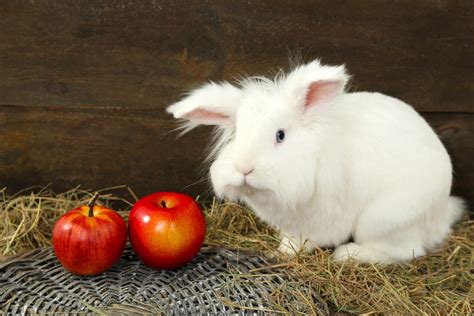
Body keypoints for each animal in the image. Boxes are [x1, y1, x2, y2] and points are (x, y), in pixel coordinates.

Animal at [166, 59, 462, 264]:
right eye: (237, 133)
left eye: (280, 135)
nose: (244, 169)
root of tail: (441, 212)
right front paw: (284, 250)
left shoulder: (321, 218)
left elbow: (311, 238)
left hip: (384, 220)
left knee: (404, 251)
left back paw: (348, 254)